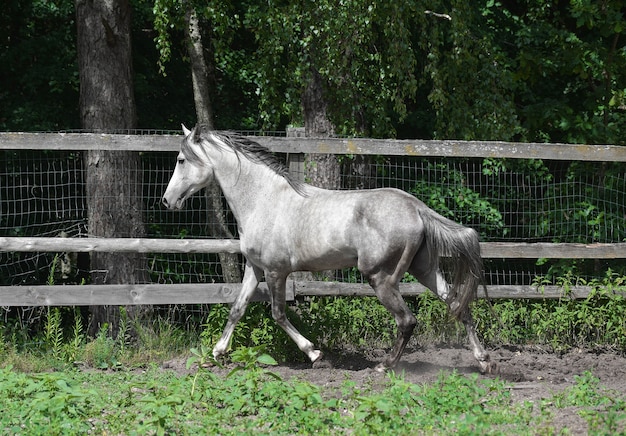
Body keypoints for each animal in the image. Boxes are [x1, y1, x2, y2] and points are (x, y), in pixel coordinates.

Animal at [161, 124, 492, 372]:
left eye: (180, 160)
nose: (167, 201)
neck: (263, 200)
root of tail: (417, 208)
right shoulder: (255, 267)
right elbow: (237, 308)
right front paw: (216, 354)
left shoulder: (276, 271)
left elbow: (278, 314)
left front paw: (314, 354)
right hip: (423, 269)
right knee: (458, 306)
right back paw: (484, 362)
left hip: (381, 278)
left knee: (407, 320)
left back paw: (383, 366)